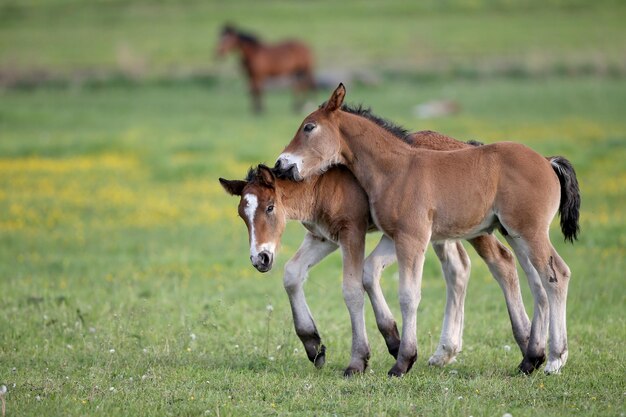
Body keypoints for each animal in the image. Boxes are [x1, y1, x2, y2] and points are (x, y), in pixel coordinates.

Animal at [219, 128, 532, 376]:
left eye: (270, 208)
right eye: (241, 215)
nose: (260, 258)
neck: (320, 184)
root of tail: (468, 144)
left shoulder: (352, 232)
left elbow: (353, 288)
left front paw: (362, 358)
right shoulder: (323, 237)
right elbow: (292, 274)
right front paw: (315, 345)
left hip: (474, 227)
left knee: (502, 261)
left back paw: (530, 343)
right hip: (443, 232)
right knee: (458, 268)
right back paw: (446, 352)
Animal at [276, 83, 576, 376]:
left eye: (309, 127)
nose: (281, 164)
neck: (396, 168)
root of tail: (547, 160)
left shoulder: (408, 236)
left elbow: (407, 295)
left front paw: (402, 361)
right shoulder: (391, 235)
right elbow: (362, 274)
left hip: (525, 231)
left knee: (554, 275)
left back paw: (554, 359)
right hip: (512, 233)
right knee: (533, 281)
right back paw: (530, 358)